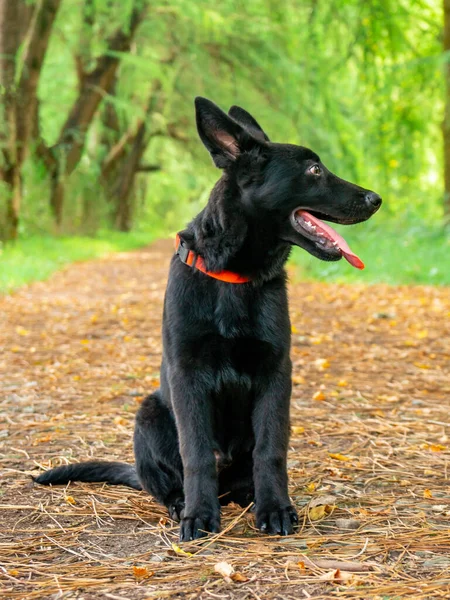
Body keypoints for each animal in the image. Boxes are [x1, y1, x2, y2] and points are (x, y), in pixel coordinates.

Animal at [35, 97, 382, 540]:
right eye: (314, 170)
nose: (376, 199)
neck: (234, 277)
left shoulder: (276, 373)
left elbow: (271, 450)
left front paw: (275, 508)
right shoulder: (187, 374)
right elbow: (195, 452)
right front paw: (199, 515)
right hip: (149, 414)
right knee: (167, 481)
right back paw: (182, 502)